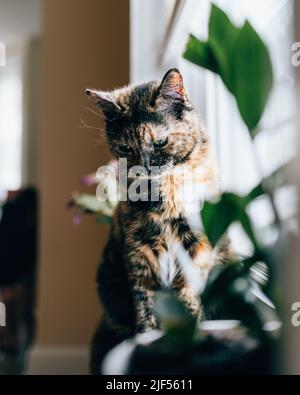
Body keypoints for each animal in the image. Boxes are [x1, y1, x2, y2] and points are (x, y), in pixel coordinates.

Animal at [85, 68, 224, 374]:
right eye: (126, 148)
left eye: (160, 142)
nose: (144, 168)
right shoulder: (140, 253)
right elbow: (145, 308)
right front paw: (147, 344)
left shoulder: (198, 248)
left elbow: (188, 299)